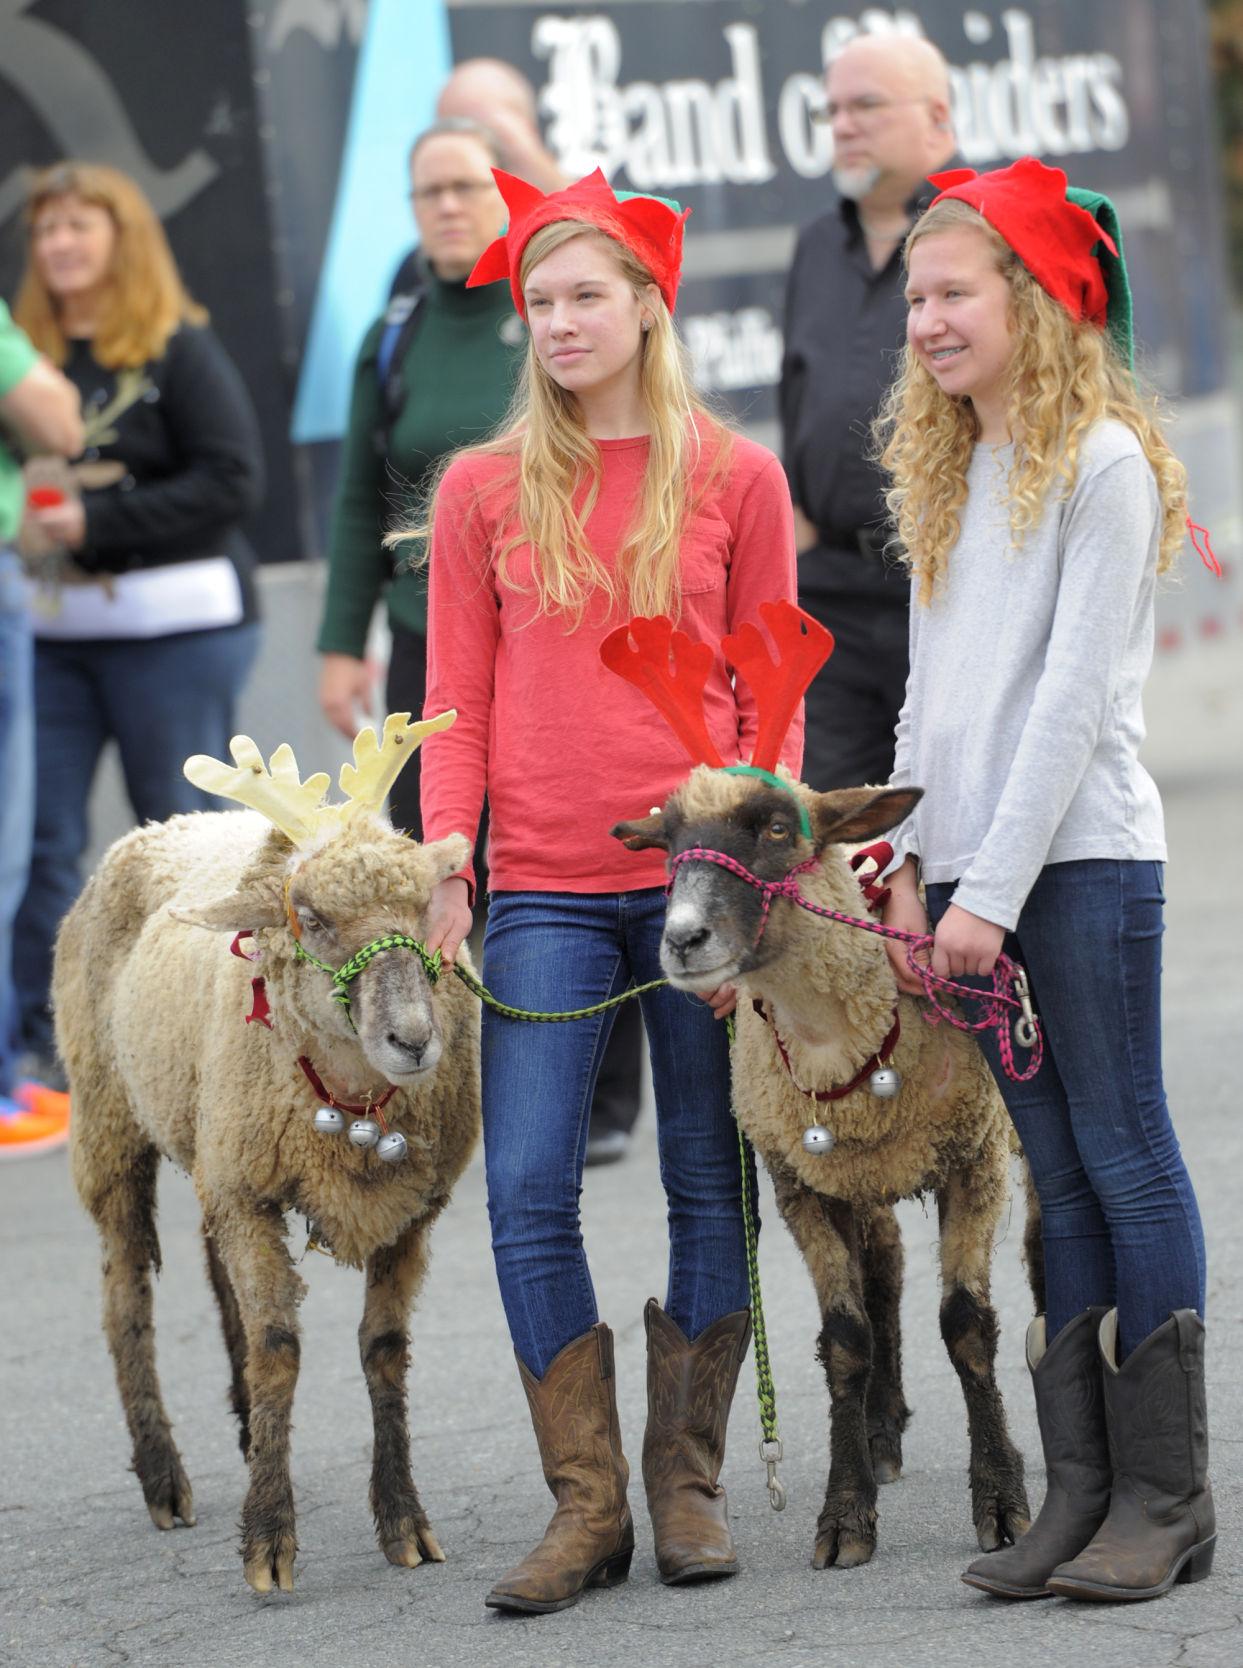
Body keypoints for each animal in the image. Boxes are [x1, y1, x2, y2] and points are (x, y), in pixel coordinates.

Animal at [54, 710, 480, 1594]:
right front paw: (268, 1543)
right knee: (124, 1294)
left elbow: (382, 1350)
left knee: (213, 1272)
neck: (355, 1103)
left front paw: (404, 1522)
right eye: (309, 916)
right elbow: (280, 1347)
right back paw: (163, 1479)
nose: (413, 1041)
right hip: (107, 1116)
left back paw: (250, 1430)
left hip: (211, 1140)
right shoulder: (250, 1193)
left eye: (426, 906)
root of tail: (168, 822)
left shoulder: (412, 1209)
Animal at [600, 607, 1034, 1567]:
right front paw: (844, 1513)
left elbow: (967, 1326)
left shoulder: (974, 1161)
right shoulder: (801, 1184)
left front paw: (1002, 1502)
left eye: (774, 828)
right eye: (668, 841)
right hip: (858, 1175)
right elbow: (845, 1341)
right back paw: (878, 1432)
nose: (681, 940)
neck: (847, 1040)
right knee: (884, 1270)